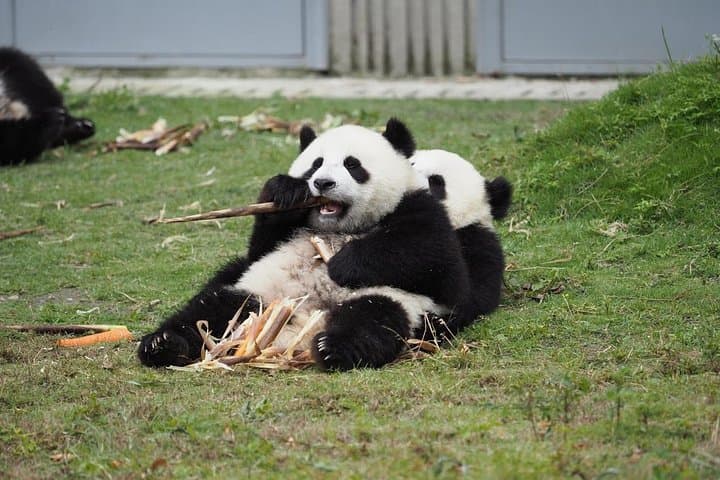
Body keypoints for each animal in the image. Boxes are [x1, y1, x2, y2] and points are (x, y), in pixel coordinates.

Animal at [138, 119, 470, 371]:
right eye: (315, 165)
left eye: (353, 165)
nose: (323, 183)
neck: (341, 228)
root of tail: (296, 330)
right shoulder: (278, 237)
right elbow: (259, 247)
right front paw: (286, 189)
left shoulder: (420, 208)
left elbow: (435, 260)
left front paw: (343, 264)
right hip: (262, 295)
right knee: (212, 309)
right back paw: (162, 344)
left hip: (389, 300)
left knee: (373, 319)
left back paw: (332, 347)